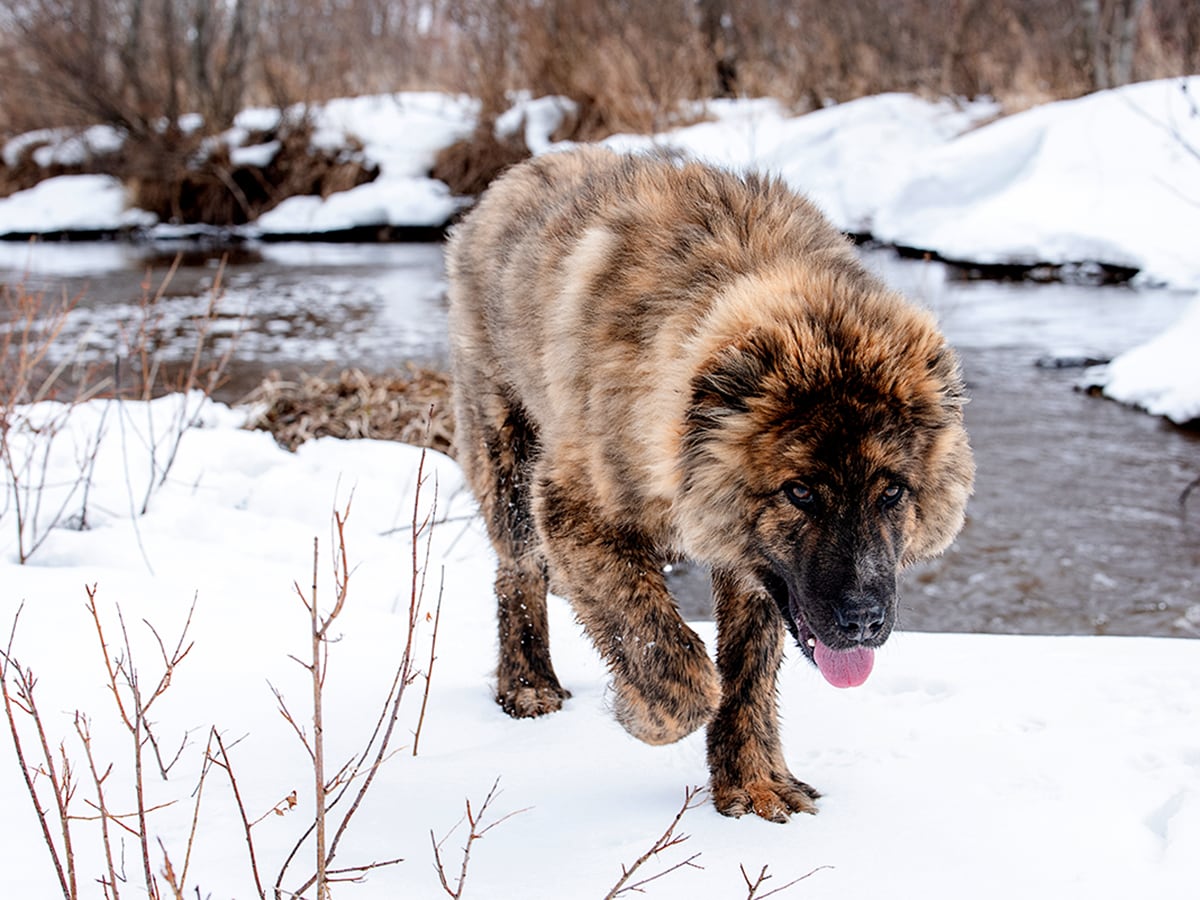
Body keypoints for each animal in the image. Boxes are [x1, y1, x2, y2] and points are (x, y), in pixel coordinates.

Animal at [446, 148, 969, 825]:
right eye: (801, 492)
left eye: (893, 492)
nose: (861, 621)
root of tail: (509, 179)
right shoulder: (572, 509)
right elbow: (673, 660)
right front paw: (643, 716)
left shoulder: (753, 569)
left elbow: (746, 673)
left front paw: (752, 784)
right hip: (506, 460)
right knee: (518, 573)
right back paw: (527, 683)